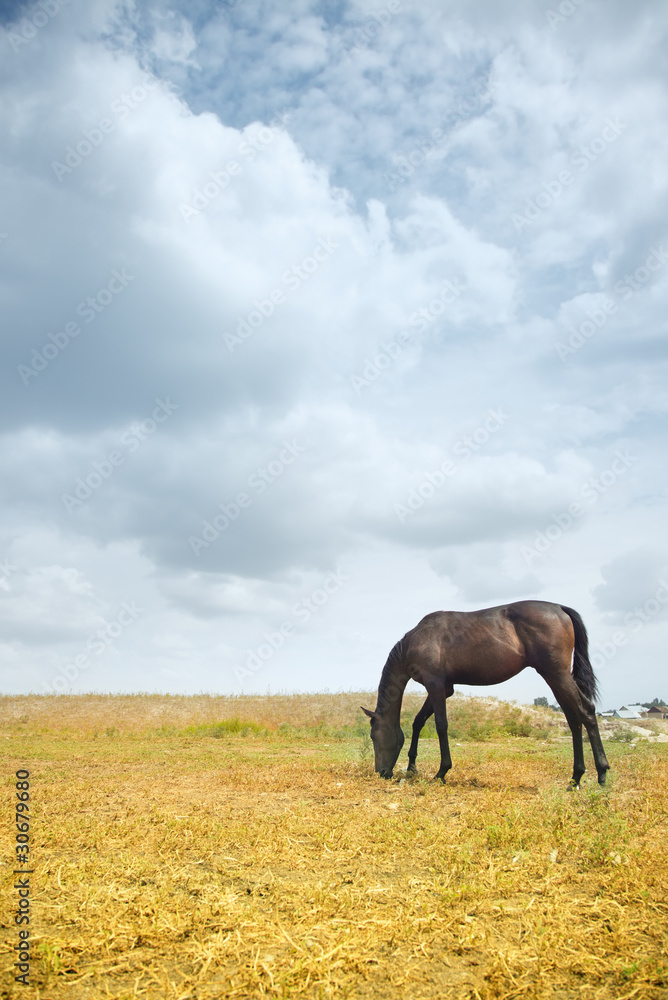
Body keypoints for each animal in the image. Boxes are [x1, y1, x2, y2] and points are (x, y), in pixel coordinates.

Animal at [362, 601, 609, 789]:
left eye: (373, 736)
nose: (381, 772)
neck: (416, 640)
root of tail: (560, 608)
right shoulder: (444, 688)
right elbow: (418, 722)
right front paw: (412, 767)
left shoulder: (435, 685)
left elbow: (441, 725)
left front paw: (442, 772)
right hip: (557, 680)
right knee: (573, 719)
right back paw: (576, 777)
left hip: (557, 675)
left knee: (586, 711)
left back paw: (601, 773)